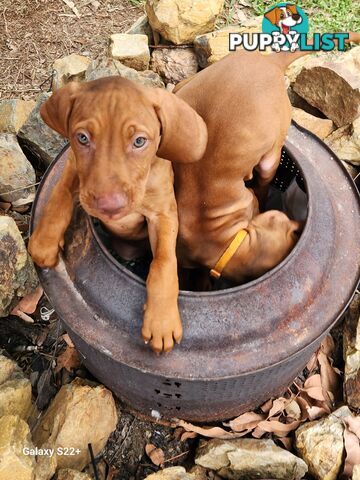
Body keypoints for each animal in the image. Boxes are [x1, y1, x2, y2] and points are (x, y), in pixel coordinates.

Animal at [28, 76, 208, 352]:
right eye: (82, 138)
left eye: (139, 141)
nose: (109, 206)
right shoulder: (74, 170)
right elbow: (59, 198)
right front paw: (44, 241)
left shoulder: (163, 215)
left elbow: (163, 262)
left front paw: (161, 320)